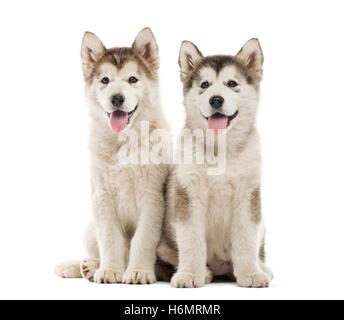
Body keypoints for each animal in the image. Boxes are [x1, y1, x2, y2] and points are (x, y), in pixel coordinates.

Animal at [55, 26, 169, 284]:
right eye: (105, 80)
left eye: (133, 79)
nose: (116, 98)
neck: (123, 142)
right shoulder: (102, 197)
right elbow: (110, 239)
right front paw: (109, 271)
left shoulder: (152, 198)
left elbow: (142, 240)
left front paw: (138, 271)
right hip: (89, 228)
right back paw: (85, 266)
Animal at [159, 38, 274, 288]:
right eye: (205, 84)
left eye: (232, 83)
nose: (216, 99)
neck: (220, 149)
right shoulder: (188, 194)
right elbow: (191, 240)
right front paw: (189, 275)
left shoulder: (247, 195)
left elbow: (246, 238)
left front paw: (251, 273)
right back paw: (202, 272)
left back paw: (262, 268)